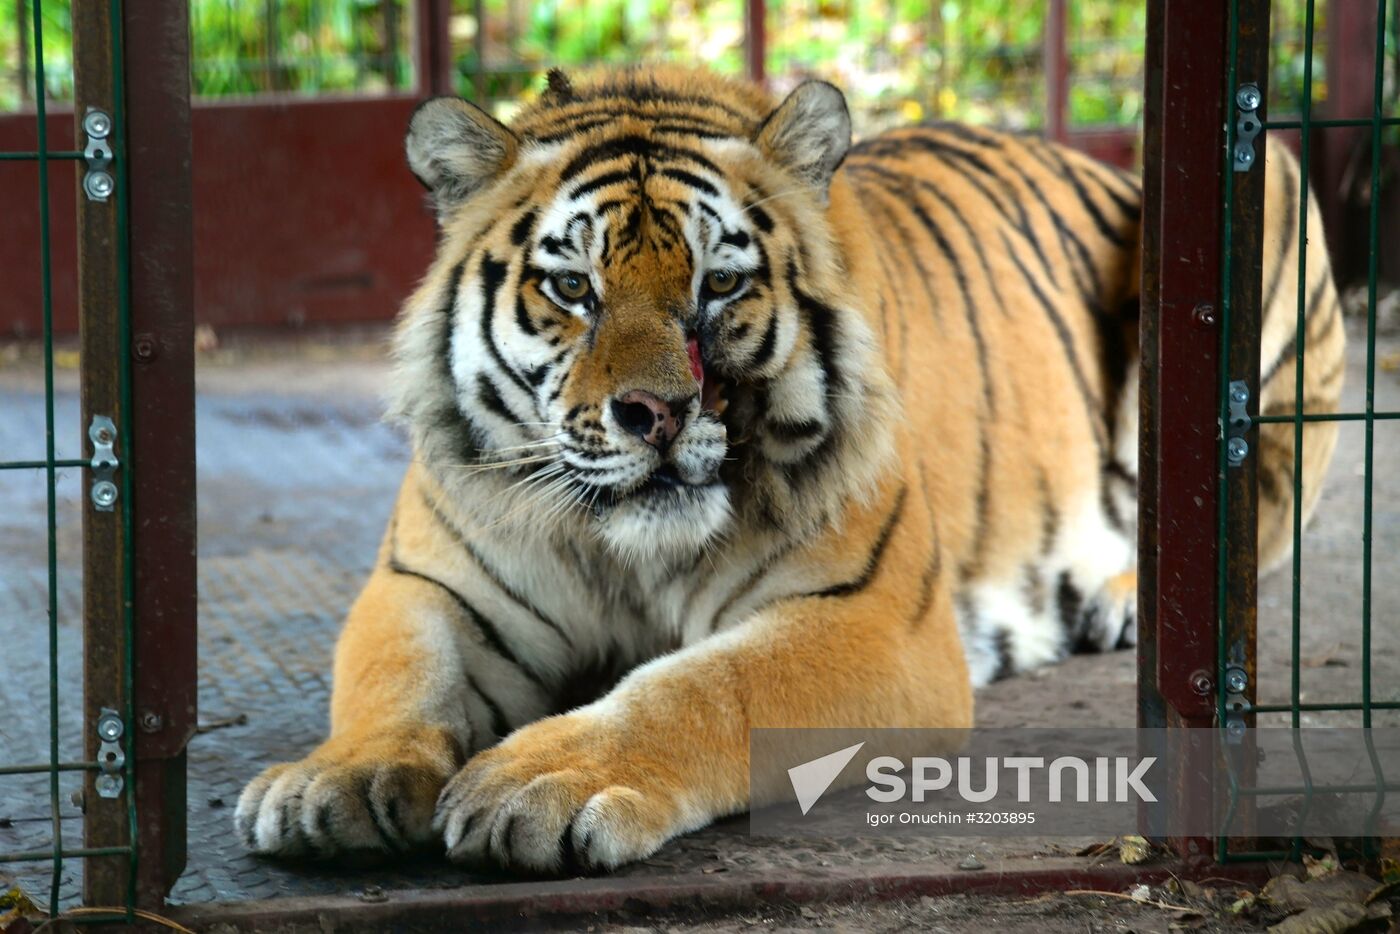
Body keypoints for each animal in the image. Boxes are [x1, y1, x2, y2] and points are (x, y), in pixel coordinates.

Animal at [232, 67, 1344, 879]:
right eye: (572, 288)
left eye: (719, 284)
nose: (656, 413)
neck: (623, 553)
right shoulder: (429, 584)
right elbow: (395, 675)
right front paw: (335, 781)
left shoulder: (871, 619)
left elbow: (698, 686)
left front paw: (546, 779)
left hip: (1272, 183)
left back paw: (1120, 596)